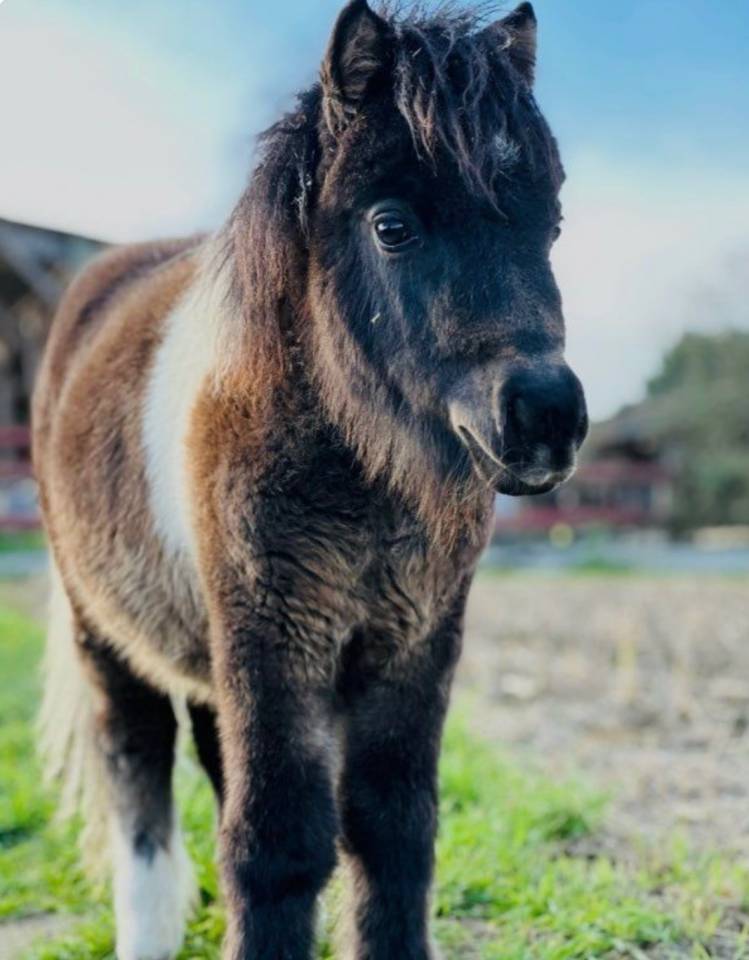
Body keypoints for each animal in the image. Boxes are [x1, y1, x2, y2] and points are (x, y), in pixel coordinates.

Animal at [33, 2, 588, 958]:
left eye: (548, 226)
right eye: (392, 226)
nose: (546, 419)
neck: (359, 474)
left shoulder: (415, 641)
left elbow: (393, 830)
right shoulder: (275, 633)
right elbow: (278, 845)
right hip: (107, 633)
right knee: (138, 779)